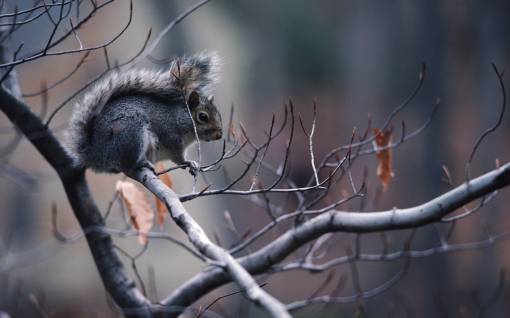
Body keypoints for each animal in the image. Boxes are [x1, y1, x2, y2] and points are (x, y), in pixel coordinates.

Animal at [65, 53, 221, 175]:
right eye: (202, 117)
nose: (219, 135)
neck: (179, 118)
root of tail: (95, 153)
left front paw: (191, 165)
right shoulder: (170, 136)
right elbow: (178, 158)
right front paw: (188, 162)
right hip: (131, 132)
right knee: (127, 164)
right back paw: (141, 163)